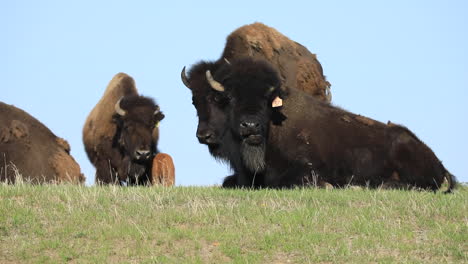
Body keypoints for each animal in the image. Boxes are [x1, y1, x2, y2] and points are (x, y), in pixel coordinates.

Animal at [206, 57, 458, 193]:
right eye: (231, 97)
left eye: (267, 99)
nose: (250, 125)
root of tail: (439, 163)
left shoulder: (307, 169)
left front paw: (327, 186)